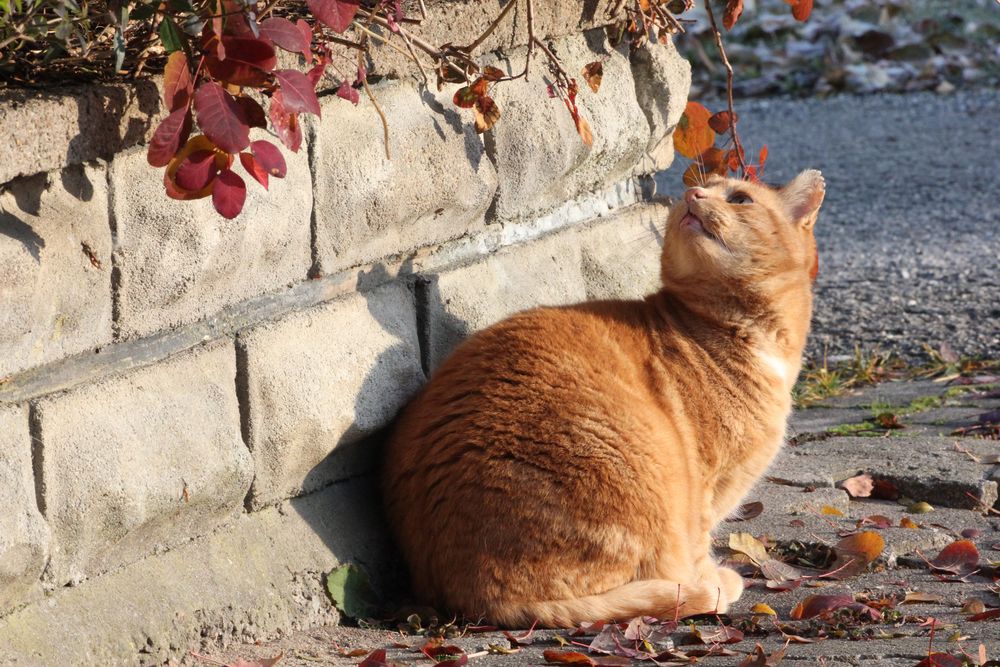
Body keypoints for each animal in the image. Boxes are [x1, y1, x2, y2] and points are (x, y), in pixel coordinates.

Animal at [378, 170, 824, 628]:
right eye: (705, 190)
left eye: (739, 199)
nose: (692, 193)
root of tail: (479, 600)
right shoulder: (705, 487)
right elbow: (698, 548)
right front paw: (711, 579)